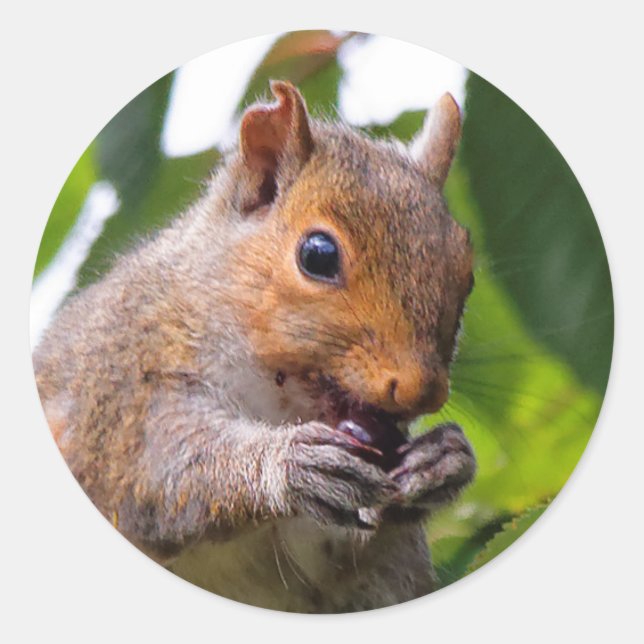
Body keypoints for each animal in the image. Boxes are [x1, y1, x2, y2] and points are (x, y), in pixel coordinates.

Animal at [33, 81, 476, 613]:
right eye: (317, 255)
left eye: (467, 275)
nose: (421, 391)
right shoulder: (129, 395)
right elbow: (164, 474)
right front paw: (287, 465)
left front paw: (446, 460)